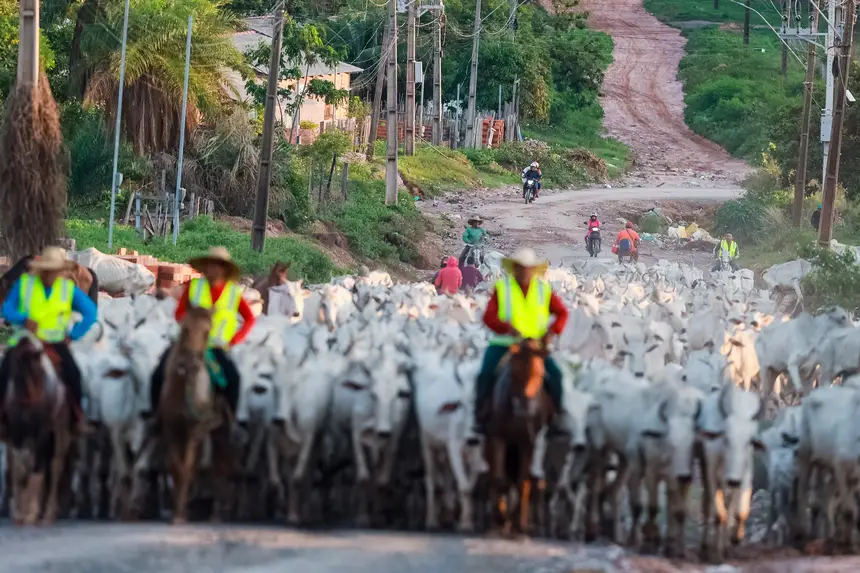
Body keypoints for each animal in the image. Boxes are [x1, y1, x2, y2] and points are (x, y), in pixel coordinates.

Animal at [2, 332, 74, 524]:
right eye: (15, 373)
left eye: (38, 373)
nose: (30, 409)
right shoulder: (17, 432)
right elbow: (20, 467)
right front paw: (20, 513)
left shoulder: (41, 432)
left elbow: (37, 468)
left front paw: (31, 513)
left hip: (59, 433)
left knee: (55, 466)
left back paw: (48, 513)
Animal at [156, 308, 233, 524]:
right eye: (185, 329)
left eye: (207, 332)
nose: (191, 365)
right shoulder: (171, 428)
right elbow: (176, 466)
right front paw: (178, 512)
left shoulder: (194, 429)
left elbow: (187, 466)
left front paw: (181, 513)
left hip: (219, 432)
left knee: (220, 467)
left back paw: (216, 514)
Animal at [484, 338, 552, 536]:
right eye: (514, 372)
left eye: (540, 374)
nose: (525, 408)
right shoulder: (496, 438)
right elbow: (499, 478)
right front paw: (500, 517)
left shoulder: (529, 443)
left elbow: (524, 482)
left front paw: (518, 522)